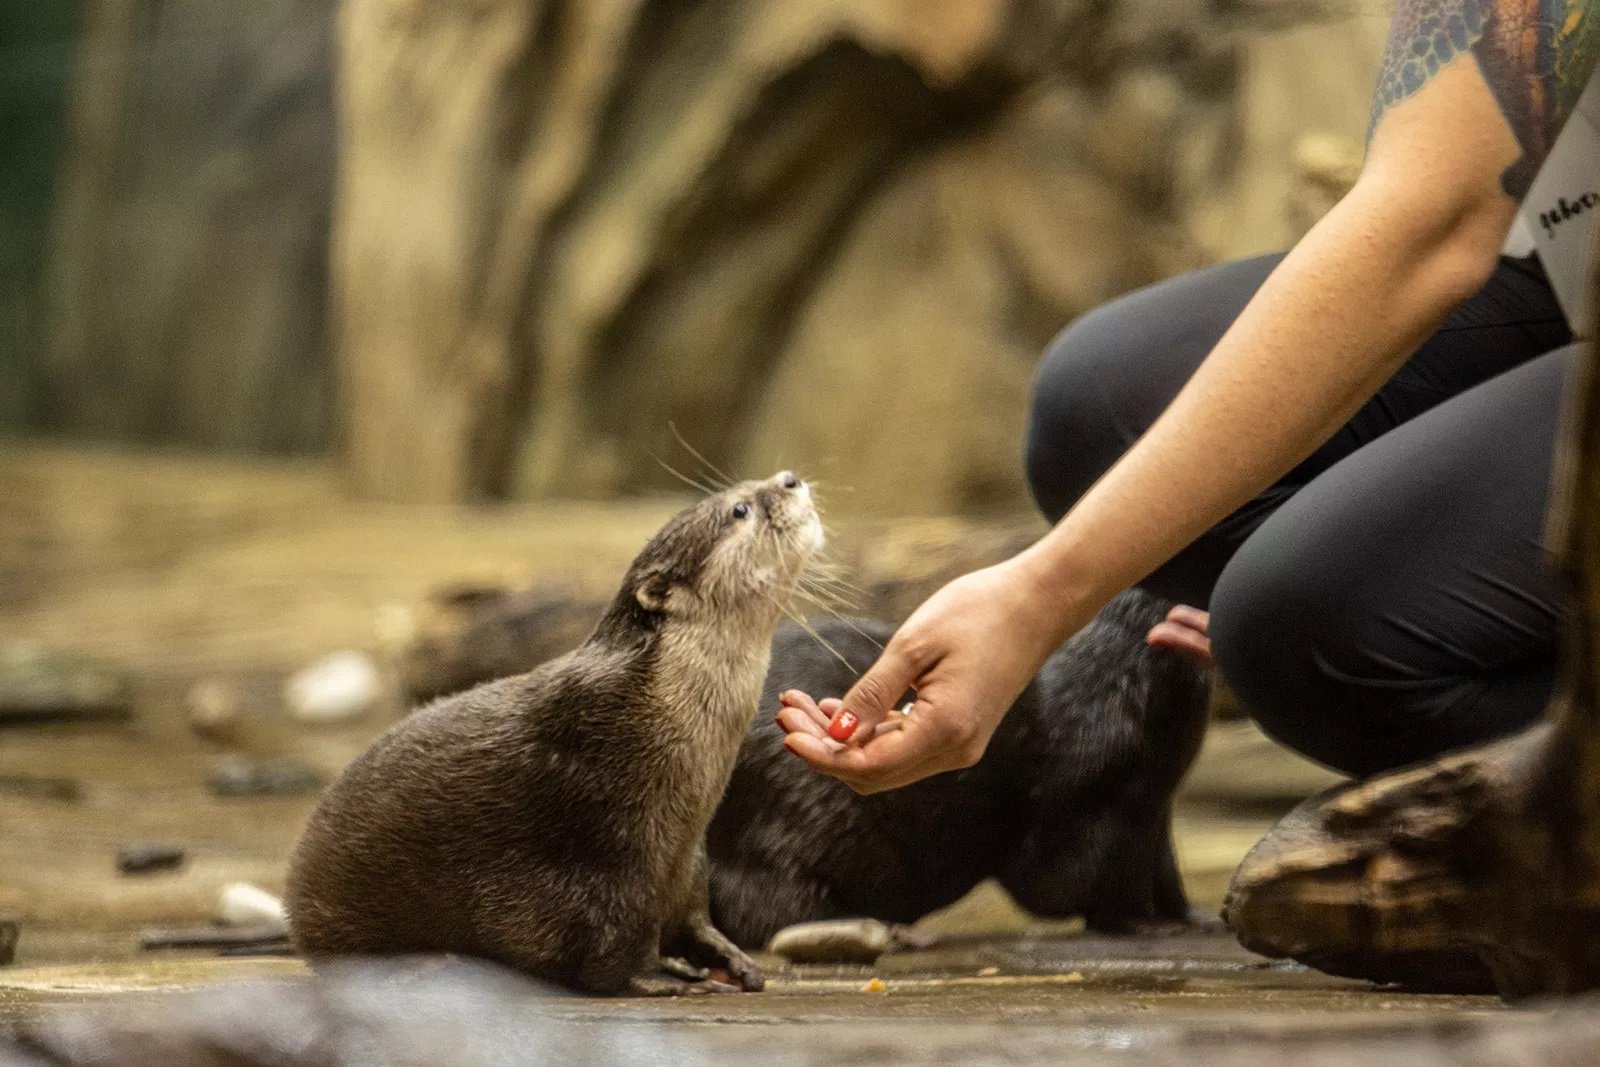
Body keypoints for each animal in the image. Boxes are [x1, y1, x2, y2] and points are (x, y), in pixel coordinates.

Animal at [283, 470, 825, 998]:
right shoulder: (604, 840)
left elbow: (692, 918)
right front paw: (659, 979)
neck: (649, 710)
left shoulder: (684, 859)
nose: (790, 478)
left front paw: (728, 959)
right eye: (740, 509)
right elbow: (606, 944)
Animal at [710, 591, 1209, 953]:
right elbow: (1078, 882)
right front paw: (1147, 924)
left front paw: (1191, 916)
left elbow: (1165, 870)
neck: (1123, 687)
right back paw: (895, 932)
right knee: (758, 911)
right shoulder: (1102, 794)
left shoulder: (1155, 807)